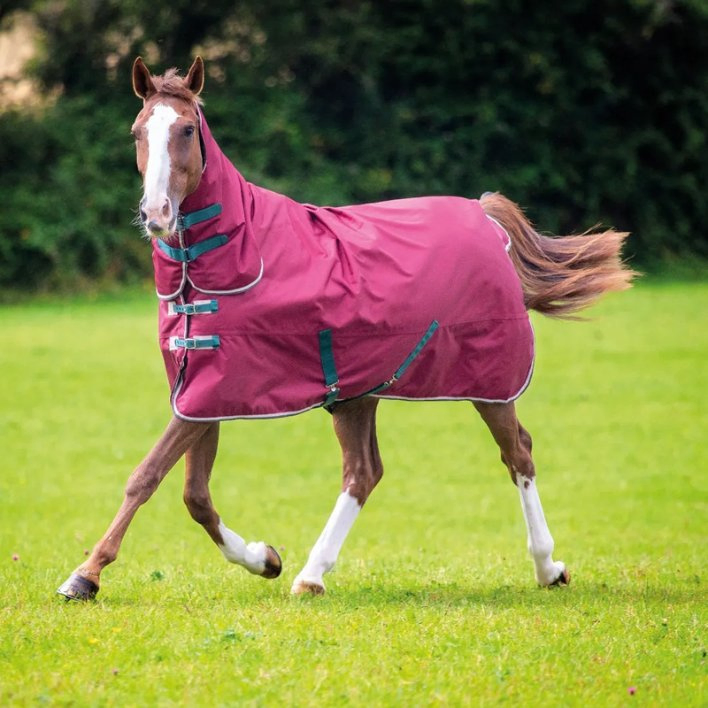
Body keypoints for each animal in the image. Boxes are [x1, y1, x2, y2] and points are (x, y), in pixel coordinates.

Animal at [57, 56, 634, 601]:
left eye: (185, 129)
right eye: (137, 131)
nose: (156, 213)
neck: (232, 258)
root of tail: (485, 215)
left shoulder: (213, 389)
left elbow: (147, 477)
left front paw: (84, 576)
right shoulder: (201, 389)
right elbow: (195, 496)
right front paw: (265, 558)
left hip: (489, 383)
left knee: (518, 453)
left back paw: (548, 567)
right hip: (359, 393)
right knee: (364, 472)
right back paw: (310, 575)